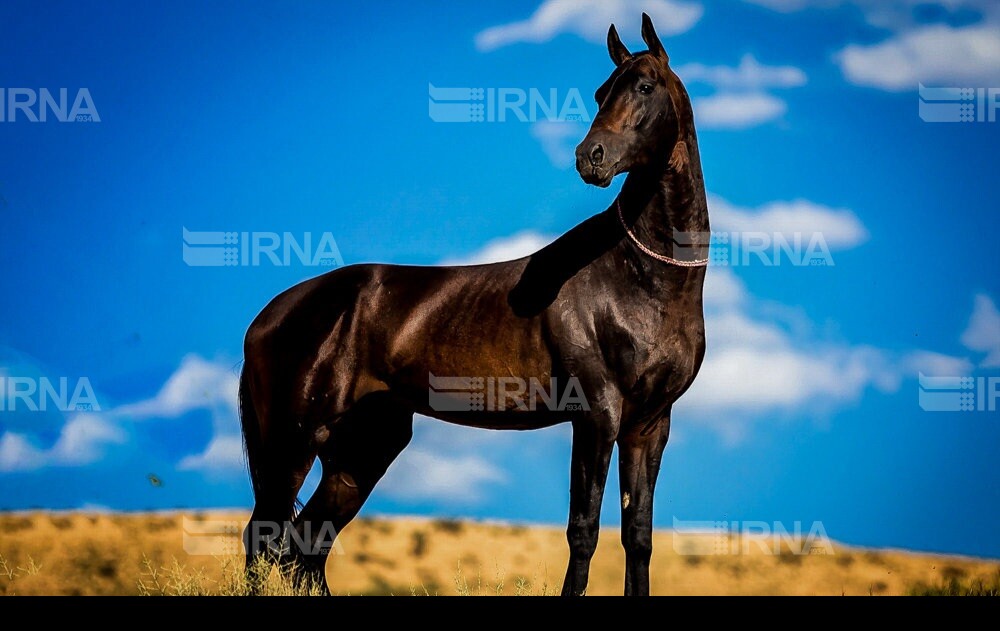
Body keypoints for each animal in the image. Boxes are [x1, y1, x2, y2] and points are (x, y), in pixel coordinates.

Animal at [242, 14, 712, 596]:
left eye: (644, 86)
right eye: (602, 92)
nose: (590, 158)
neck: (642, 279)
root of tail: (270, 317)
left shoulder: (649, 424)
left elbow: (638, 537)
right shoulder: (596, 414)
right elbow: (583, 531)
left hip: (359, 451)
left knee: (306, 549)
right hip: (290, 443)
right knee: (265, 539)